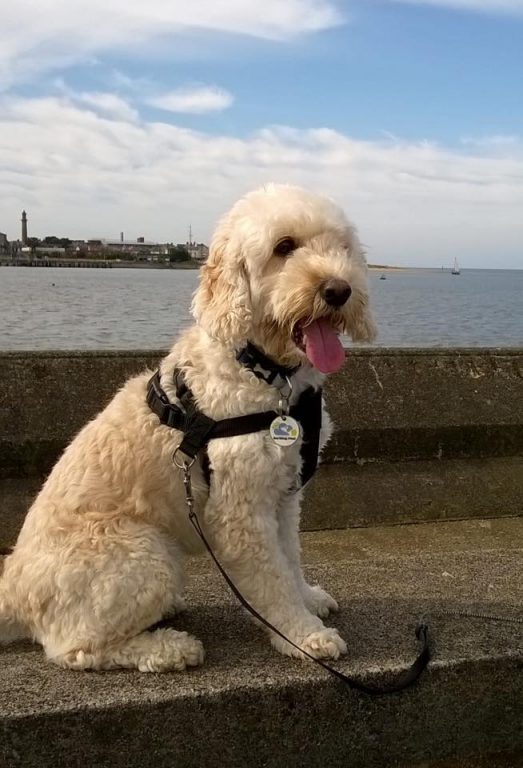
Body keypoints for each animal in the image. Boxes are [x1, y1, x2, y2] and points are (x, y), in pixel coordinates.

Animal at [0, 186, 376, 672]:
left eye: (341, 247)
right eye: (284, 246)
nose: (338, 290)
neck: (263, 370)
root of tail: (12, 591)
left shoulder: (283, 494)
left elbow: (290, 558)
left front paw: (307, 599)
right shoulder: (241, 511)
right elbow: (272, 580)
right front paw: (303, 635)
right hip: (142, 551)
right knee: (73, 648)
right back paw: (169, 647)